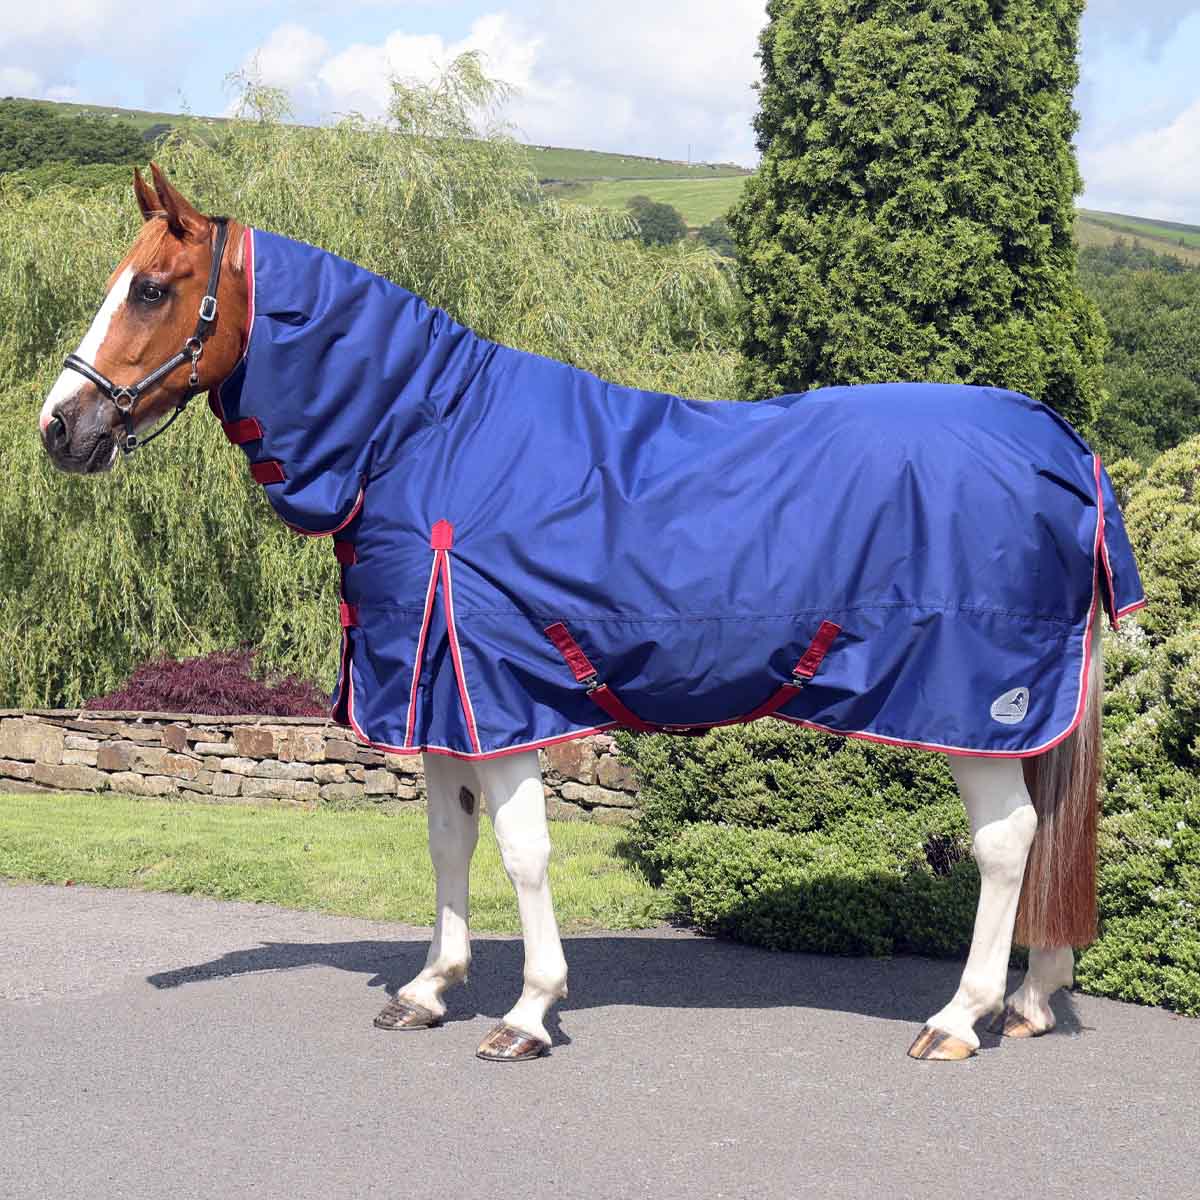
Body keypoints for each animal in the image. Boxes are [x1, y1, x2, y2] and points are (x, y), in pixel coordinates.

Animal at [37, 164, 1142, 1065]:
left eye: (150, 287)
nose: (60, 427)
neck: (425, 436)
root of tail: (1065, 450)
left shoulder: (500, 697)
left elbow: (523, 852)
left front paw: (527, 1013)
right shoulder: (442, 701)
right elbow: (447, 843)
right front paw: (428, 991)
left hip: (979, 710)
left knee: (1009, 843)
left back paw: (961, 1018)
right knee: (1046, 838)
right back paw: (1033, 1001)